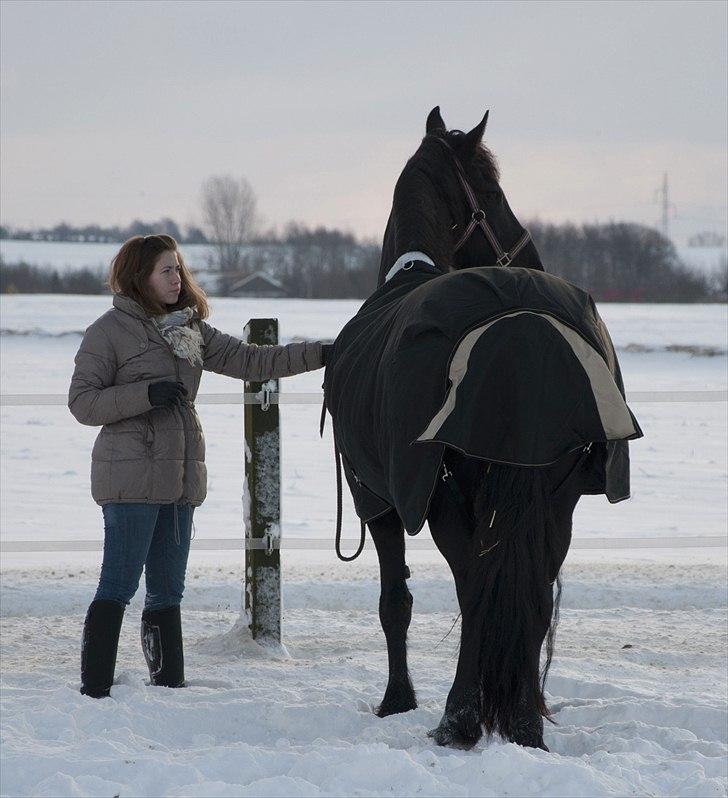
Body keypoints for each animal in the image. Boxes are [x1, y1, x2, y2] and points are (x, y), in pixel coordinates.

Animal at [322, 109, 640, 752]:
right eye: (492, 193)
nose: (534, 257)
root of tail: (522, 337)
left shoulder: (379, 501)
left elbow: (396, 601)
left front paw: (398, 702)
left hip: (447, 499)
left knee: (474, 588)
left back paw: (460, 718)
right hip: (558, 499)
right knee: (531, 592)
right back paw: (522, 722)